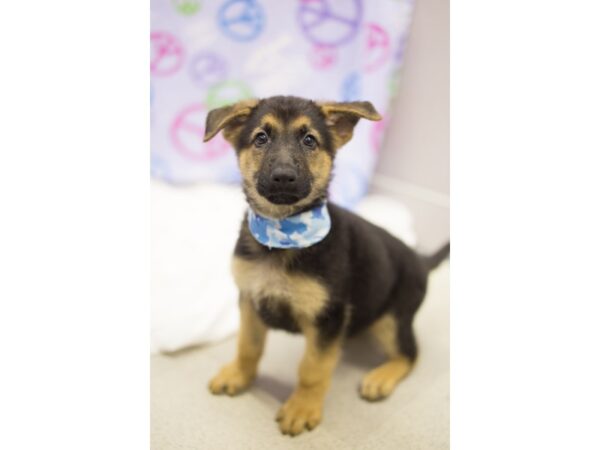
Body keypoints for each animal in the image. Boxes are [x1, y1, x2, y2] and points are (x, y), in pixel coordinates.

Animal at [204, 96, 448, 436]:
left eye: (310, 140)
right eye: (260, 138)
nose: (283, 176)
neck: (283, 235)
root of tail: (421, 259)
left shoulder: (328, 317)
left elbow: (313, 368)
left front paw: (302, 407)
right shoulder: (250, 299)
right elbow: (248, 345)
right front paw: (238, 375)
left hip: (393, 319)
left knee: (410, 354)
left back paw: (381, 377)